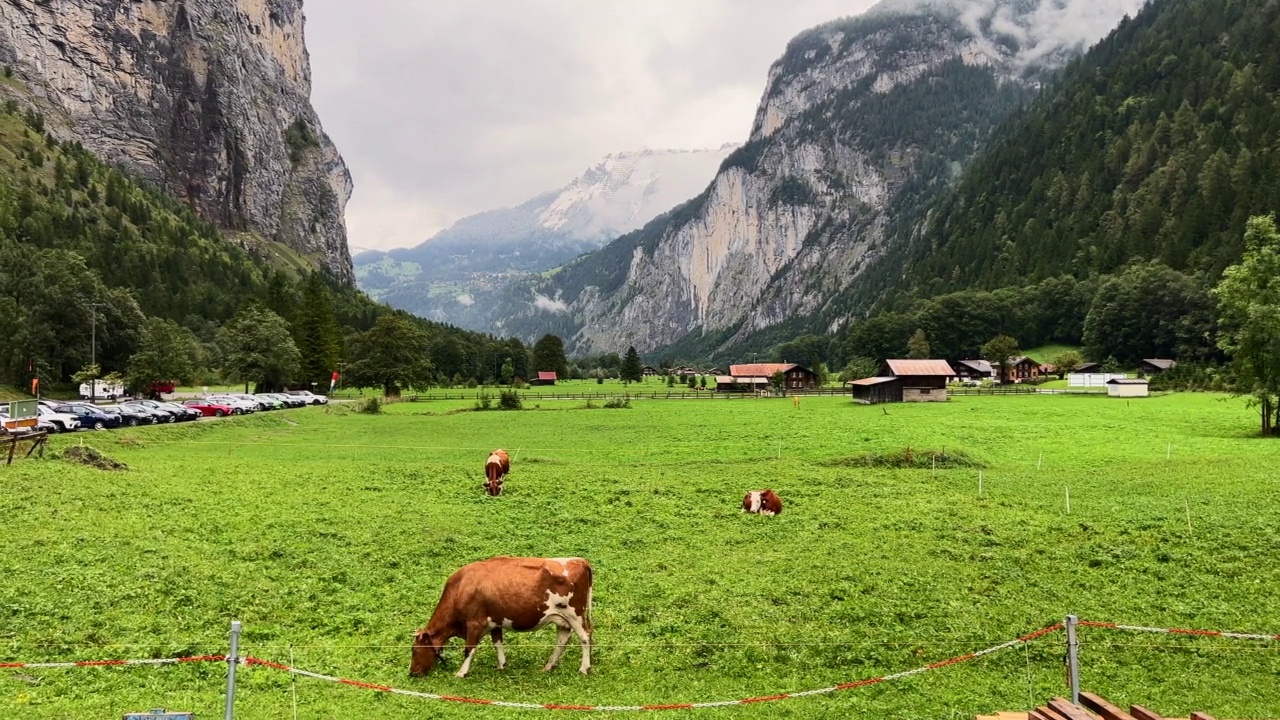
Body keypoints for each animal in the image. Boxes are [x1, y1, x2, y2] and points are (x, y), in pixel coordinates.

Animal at [409, 550, 593, 676]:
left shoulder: (475, 623)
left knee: (585, 637)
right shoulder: (495, 621)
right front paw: (501, 665)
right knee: (562, 639)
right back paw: (548, 666)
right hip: (561, 617)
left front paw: (461, 672)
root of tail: (580, 560)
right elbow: (498, 643)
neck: (461, 587)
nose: (412, 673)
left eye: (414, 651)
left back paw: (584, 667)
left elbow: (469, 649)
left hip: (575, 614)